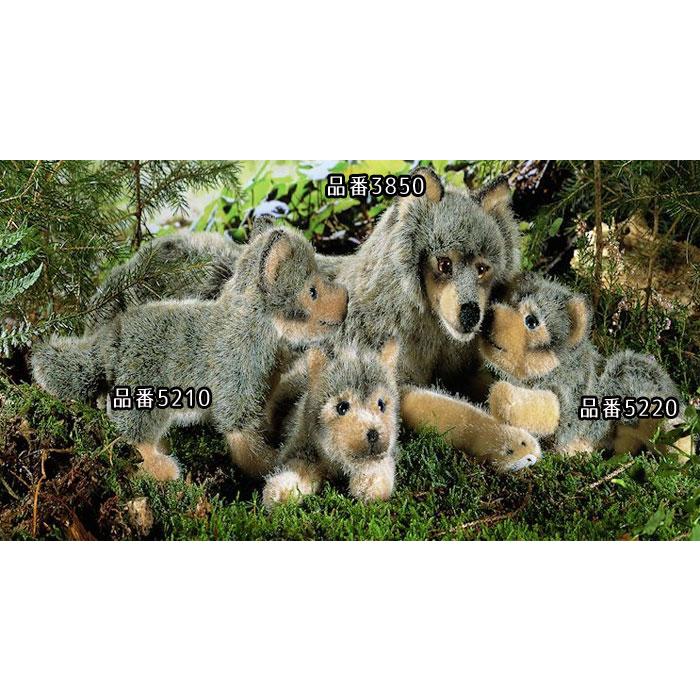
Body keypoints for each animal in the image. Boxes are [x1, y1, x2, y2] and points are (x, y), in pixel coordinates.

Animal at [32, 225, 348, 480]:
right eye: (312, 291)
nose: (346, 298)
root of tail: (108, 340)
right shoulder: (234, 392)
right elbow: (243, 441)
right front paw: (268, 464)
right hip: (142, 396)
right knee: (135, 436)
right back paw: (163, 469)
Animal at [479, 272, 691, 460]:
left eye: (531, 321)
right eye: (509, 302)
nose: (488, 315)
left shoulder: (569, 398)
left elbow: (544, 410)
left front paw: (504, 398)